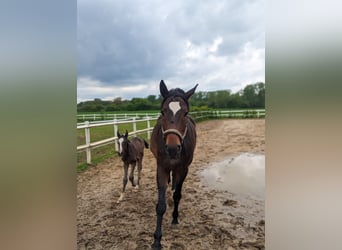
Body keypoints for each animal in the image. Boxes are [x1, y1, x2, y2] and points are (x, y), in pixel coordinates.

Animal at [150, 79, 198, 248]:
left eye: (185, 113)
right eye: (163, 112)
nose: (172, 148)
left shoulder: (183, 169)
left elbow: (177, 195)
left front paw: (175, 217)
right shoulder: (161, 168)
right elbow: (160, 206)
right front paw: (157, 240)